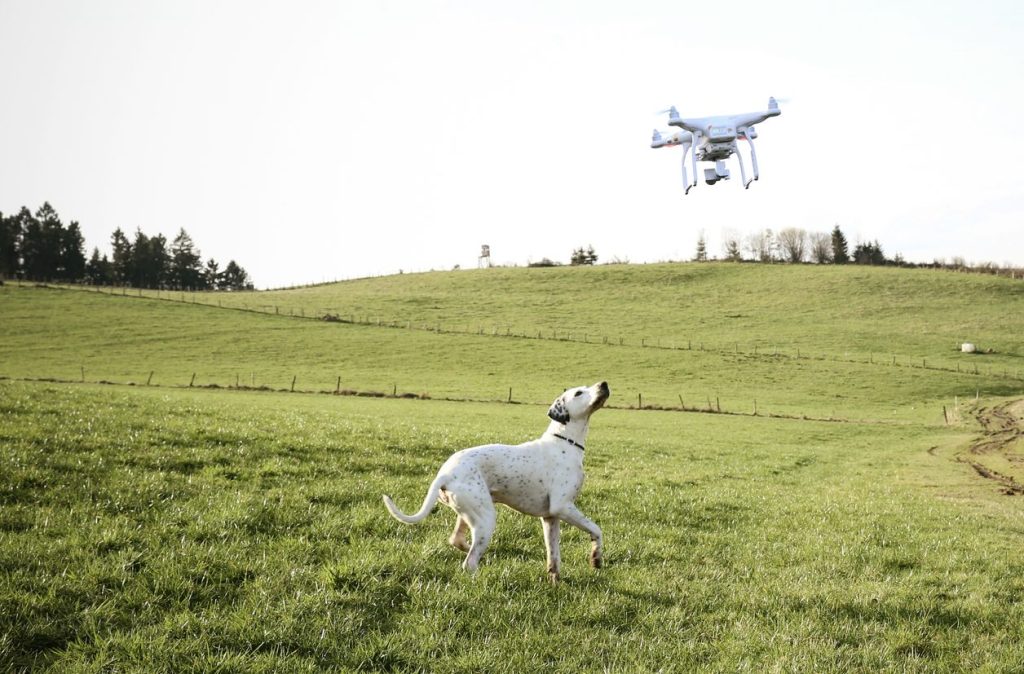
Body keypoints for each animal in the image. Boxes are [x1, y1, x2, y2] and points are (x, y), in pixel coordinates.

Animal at [382, 381, 606, 581]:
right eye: (579, 393)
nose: (604, 384)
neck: (565, 441)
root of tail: (445, 474)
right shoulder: (563, 507)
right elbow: (596, 529)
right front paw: (596, 558)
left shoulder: (551, 518)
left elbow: (554, 558)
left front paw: (555, 582)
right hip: (486, 519)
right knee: (470, 562)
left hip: (468, 515)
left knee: (458, 541)